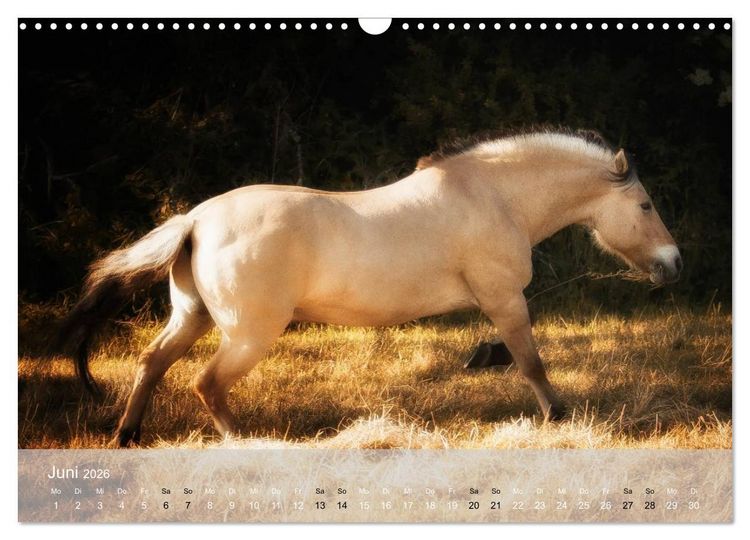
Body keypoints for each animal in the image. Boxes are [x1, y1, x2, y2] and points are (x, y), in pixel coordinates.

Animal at [58, 129, 682, 447]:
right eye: (646, 206)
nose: (673, 264)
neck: (495, 196)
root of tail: (196, 219)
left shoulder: (498, 305)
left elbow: (512, 355)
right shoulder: (505, 300)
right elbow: (531, 361)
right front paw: (558, 416)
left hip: (192, 318)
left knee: (151, 364)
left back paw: (128, 434)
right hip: (248, 335)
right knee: (205, 384)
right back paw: (248, 442)